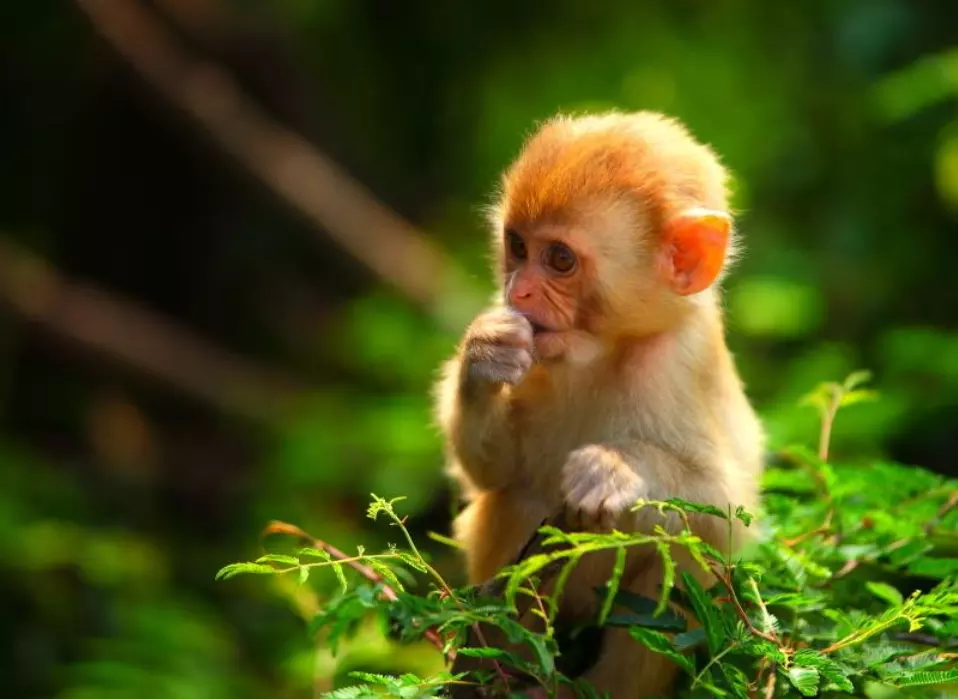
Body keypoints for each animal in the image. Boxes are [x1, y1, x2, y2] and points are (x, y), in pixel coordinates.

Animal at [436, 112, 764, 696]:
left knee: (684, 550)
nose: (519, 292)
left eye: (560, 259)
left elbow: (727, 515)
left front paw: (616, 468)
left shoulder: (681, 361)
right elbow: (492, 473)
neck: (601, 350)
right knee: (517, 501)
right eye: (517, 246)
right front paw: (485, 354)